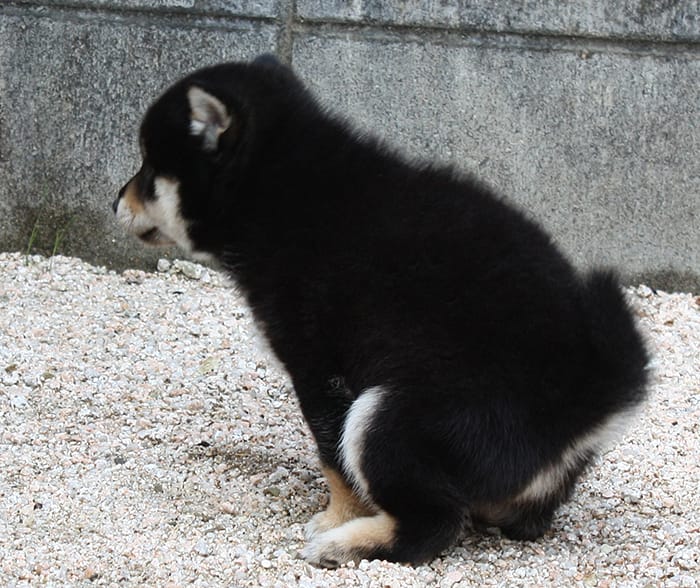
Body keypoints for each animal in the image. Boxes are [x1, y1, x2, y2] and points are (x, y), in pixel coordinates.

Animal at [113, 56, 644, 568]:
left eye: (149, 169)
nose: (116, 200)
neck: (280, 195)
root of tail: (587, 399)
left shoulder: (318, 367)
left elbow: (332, 458)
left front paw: (337, 517)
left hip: (388, 420)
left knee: (434, 524)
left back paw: (346, 545)